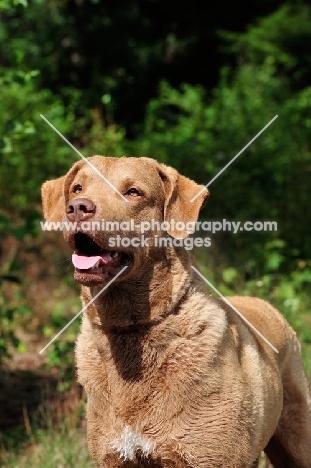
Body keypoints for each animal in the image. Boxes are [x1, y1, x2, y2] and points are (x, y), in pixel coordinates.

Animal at [42, 155, 311, 466]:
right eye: (77, 188)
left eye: (133, 192)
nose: (77, 207)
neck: (130, 329)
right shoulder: (113, 456)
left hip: (298, 432)